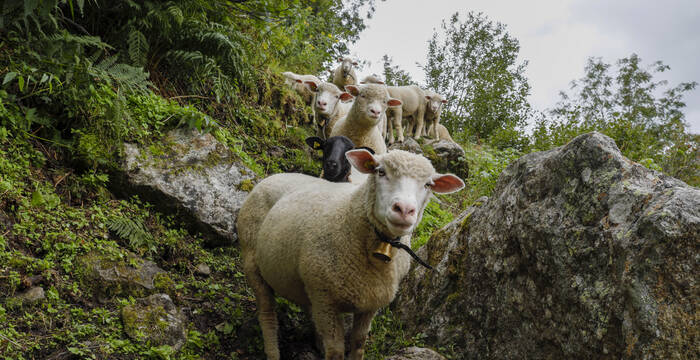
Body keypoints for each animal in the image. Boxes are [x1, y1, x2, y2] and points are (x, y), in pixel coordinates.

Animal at [238, 148, 468, 358]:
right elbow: (336, 351)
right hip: (252, 261)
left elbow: (358, 342)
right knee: (268, 316)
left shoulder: (370, 303)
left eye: (428, 184)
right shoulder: (326, 299)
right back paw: (273, 350)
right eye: (380, 172)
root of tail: (274, 176)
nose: (404, 209)